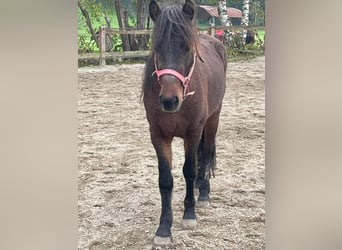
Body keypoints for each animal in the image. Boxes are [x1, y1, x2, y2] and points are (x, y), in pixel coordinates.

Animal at [142, 0, 227, 245]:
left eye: (187, 48)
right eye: (157, 48)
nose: (169, 100)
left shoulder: (193, 132)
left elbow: (188, 169)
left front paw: (189, 215)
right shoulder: (158, 135)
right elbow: (165, 179)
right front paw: (163, 228)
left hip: (213, 119)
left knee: (206, 152)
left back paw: (204, 192)